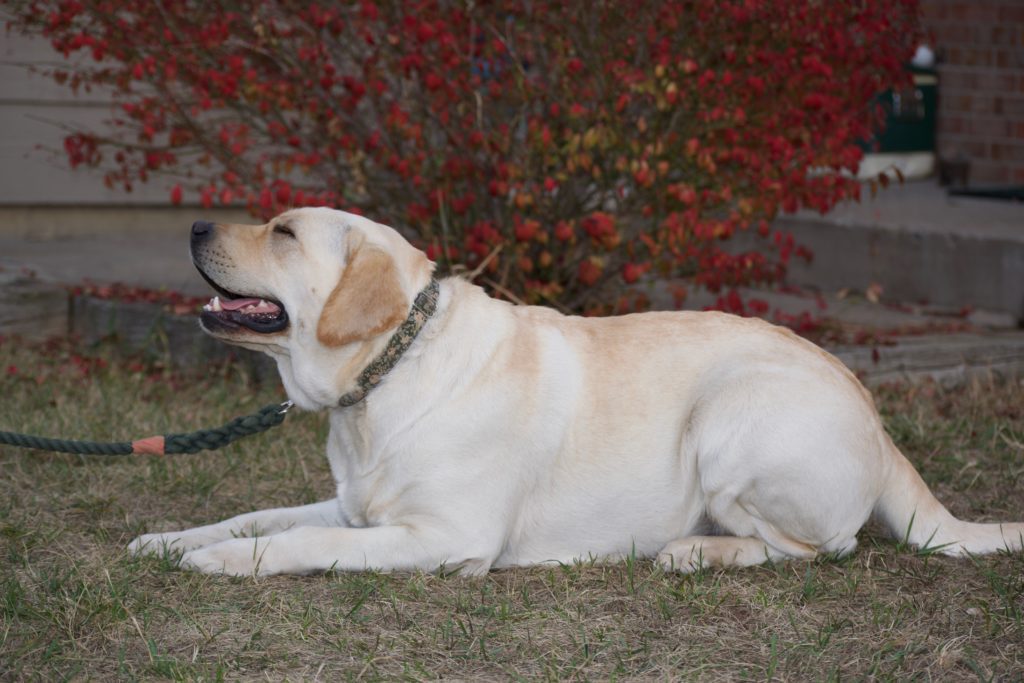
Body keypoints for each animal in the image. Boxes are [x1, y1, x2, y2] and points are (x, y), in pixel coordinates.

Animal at [130, 205, 1024, 573]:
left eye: (283, 231)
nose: (196, 226)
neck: (387, 374)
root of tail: (877, 419)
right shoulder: (358, 506)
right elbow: (256, 515)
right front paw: (172, 539)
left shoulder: (444, 535)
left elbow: (299, 541)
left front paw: (219, 564)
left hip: (730, 415)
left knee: (821, 547)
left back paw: (697, 551)